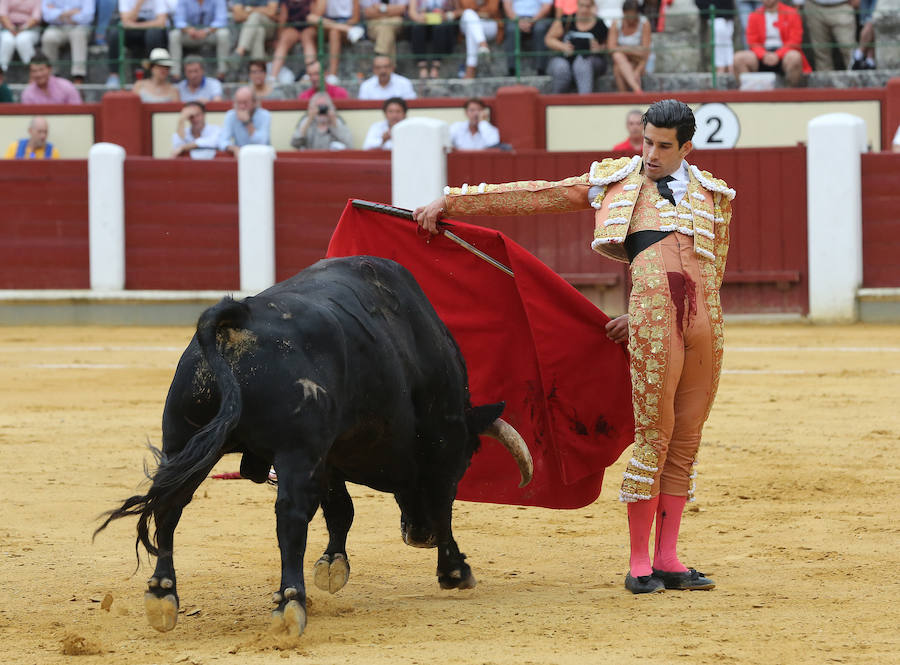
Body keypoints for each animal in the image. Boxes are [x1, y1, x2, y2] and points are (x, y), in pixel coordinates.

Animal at [96, 255, 536, 640]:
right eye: (469, 458)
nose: (419, 535)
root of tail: (237, 320)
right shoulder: (437, 451)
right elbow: (441, 507)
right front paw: (456, 571)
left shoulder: (330, 456)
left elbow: (341, 508)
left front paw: (332, 565)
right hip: (293, 452)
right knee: (290, 516)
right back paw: (291, 603)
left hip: (182, 440)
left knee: (170, 507)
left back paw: (162, 595)